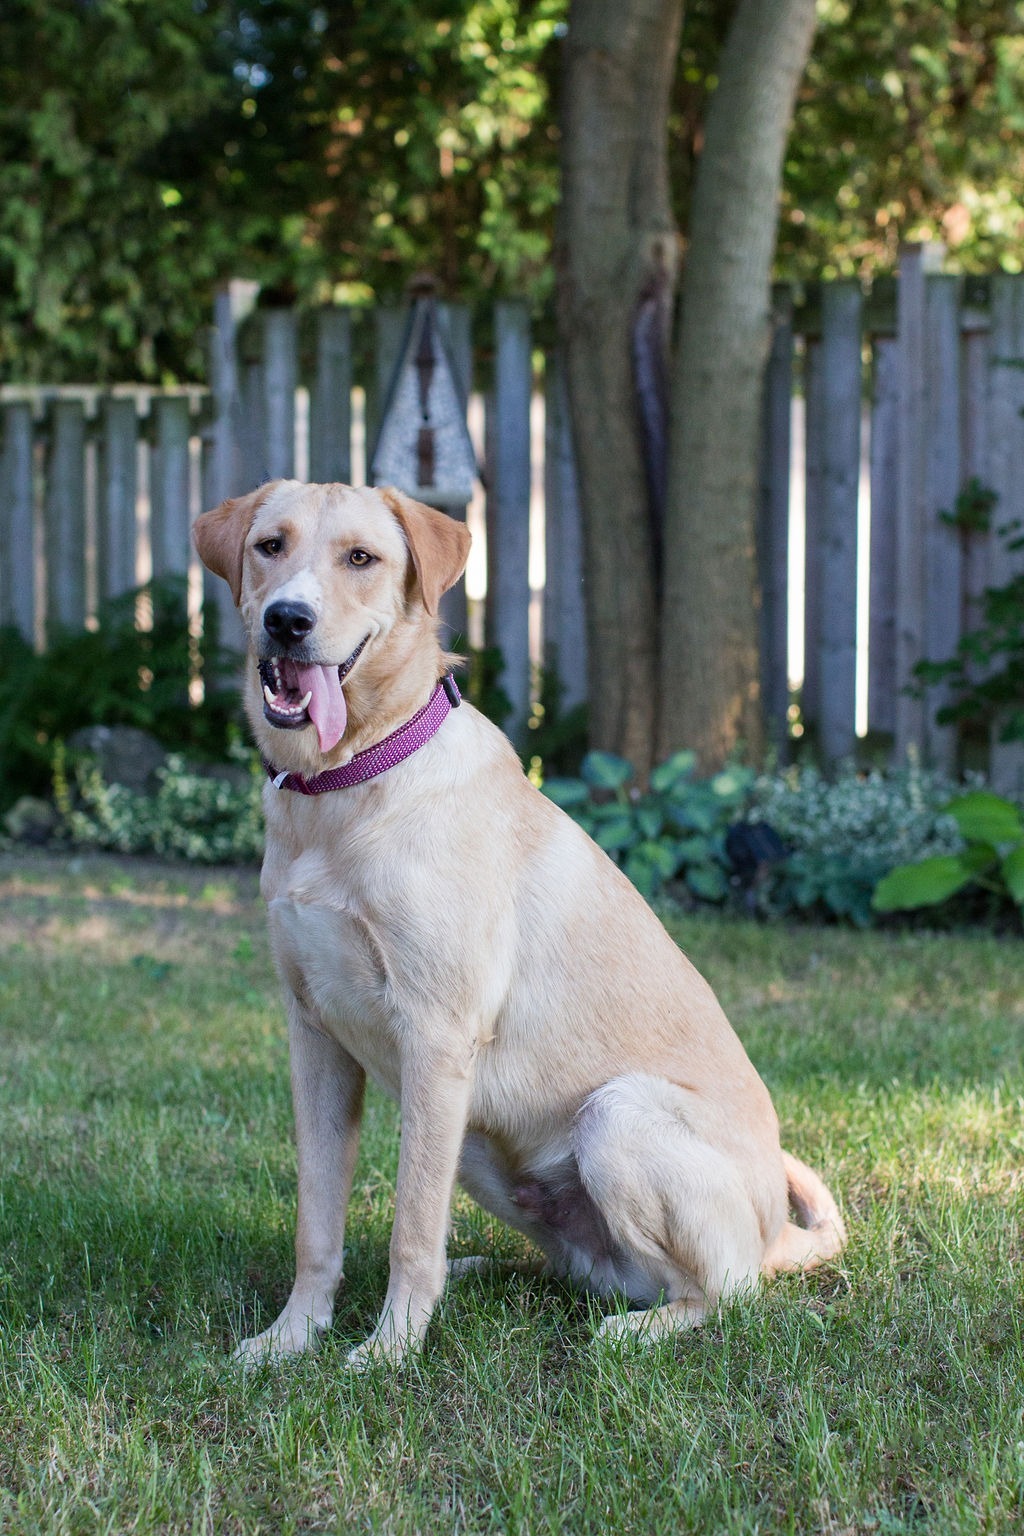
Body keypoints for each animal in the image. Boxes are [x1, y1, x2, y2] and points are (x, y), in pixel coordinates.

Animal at [194, 479, 847, 1370]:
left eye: (361, 558)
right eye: (270, 546)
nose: (287, 619)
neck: (346, 784)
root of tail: (776, 1235)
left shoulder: (435, 1039)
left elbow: (409, 1229)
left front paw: (389, 1352)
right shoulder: (316, 1037)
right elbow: (316, 1222)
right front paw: (292, 1337)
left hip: (610, 1117)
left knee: (722, 1290)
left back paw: (638, 1329)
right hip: (479, 1143)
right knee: (586, 1268)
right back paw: (485, 1269)